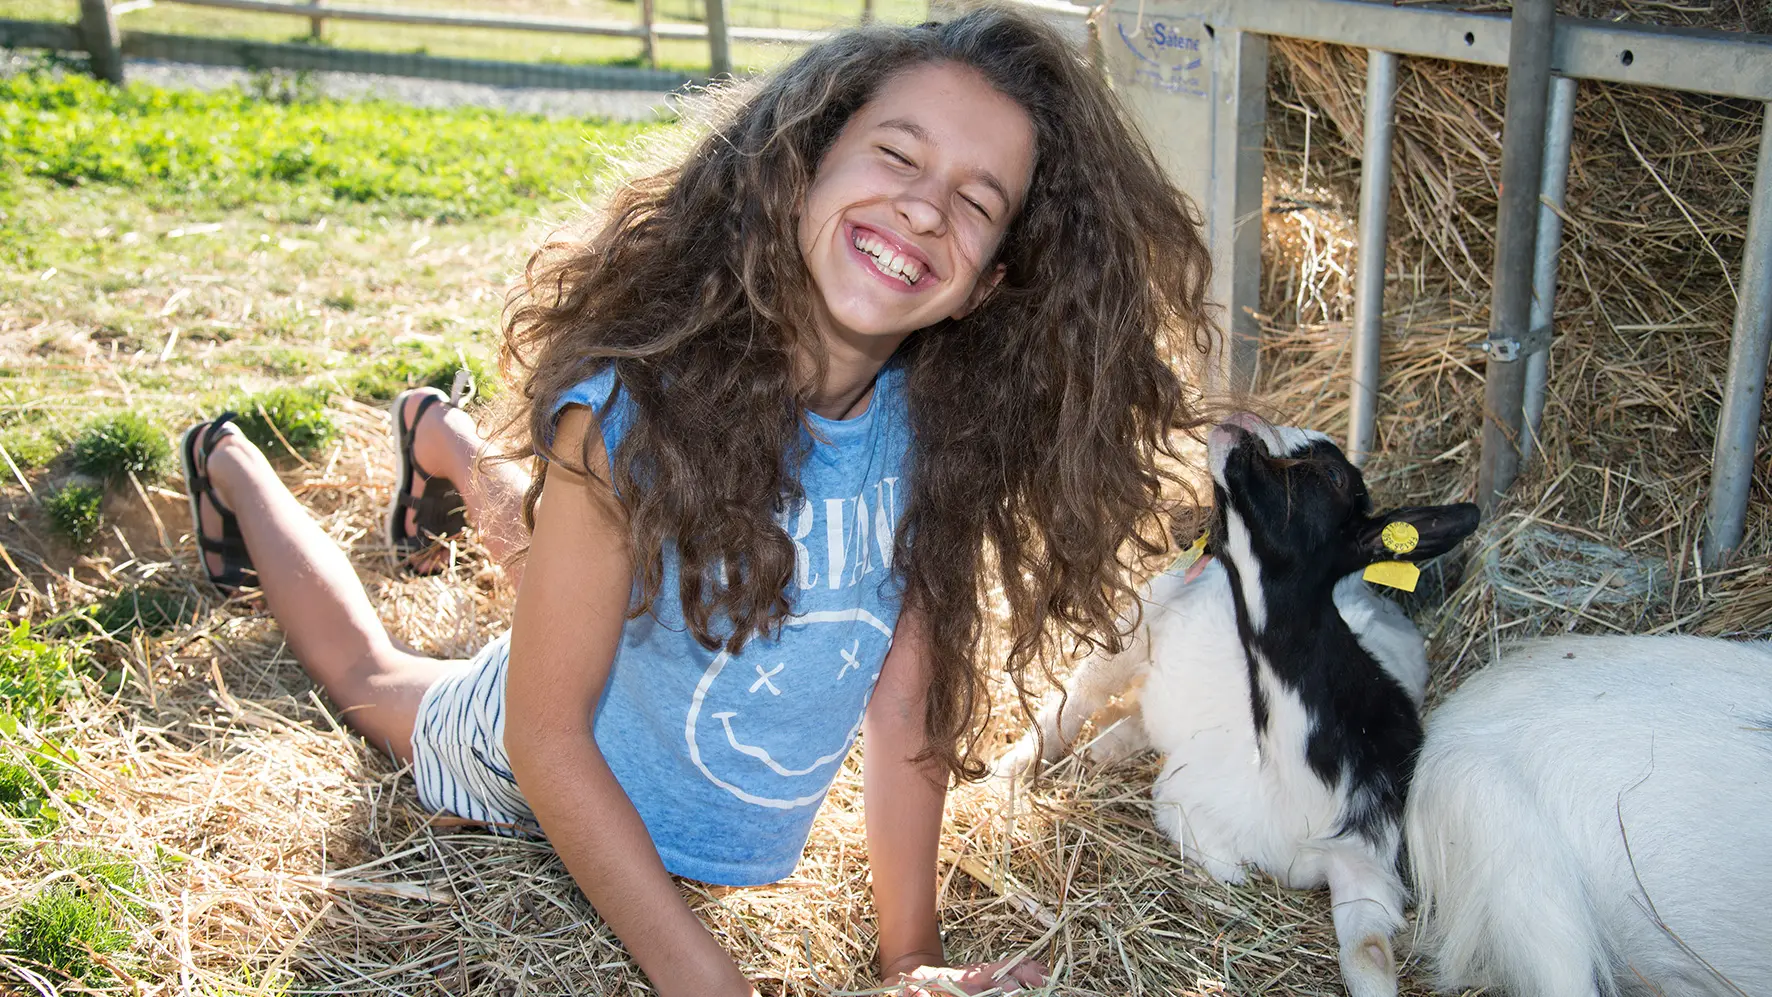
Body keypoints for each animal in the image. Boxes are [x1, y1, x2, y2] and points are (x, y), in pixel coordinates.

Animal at [999, 419, 1481, 997]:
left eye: (1333, 475)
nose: (1239, 427)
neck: (1292, 776)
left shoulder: (1370, 863)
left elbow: (1367, 955)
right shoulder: (1186, 801)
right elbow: (1229, 869)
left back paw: (1111, 742)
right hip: (1141, 616)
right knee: (1083, 692)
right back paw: (1015, 767)